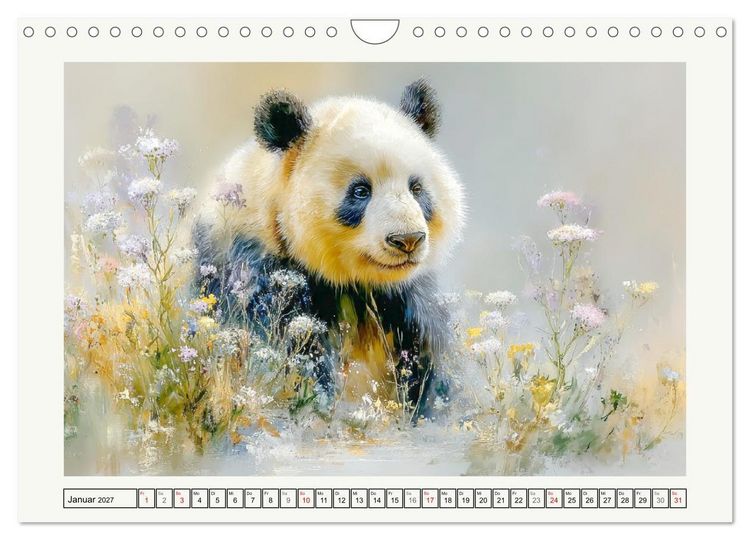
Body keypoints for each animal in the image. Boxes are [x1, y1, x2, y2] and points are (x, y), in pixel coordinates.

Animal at [193, 80, 465, 419]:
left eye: (416, 188)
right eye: (360, 191)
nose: (407, 240)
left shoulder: (407, 295)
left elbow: (429, 358)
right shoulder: (255, 273)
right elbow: (292, 355)